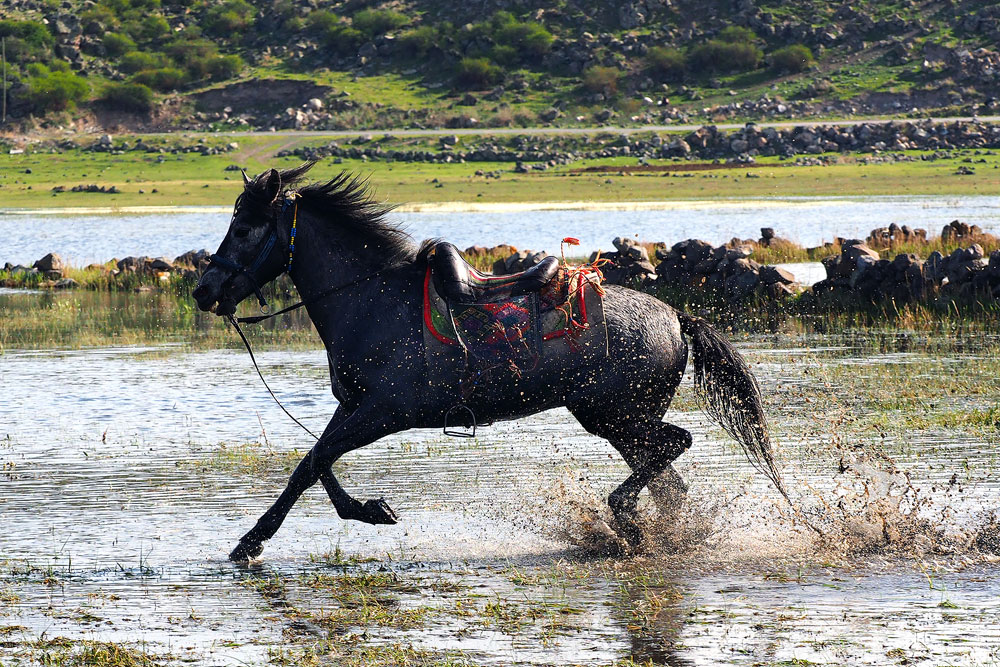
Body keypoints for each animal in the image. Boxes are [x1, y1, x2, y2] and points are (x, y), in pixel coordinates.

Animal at [193, 164, 788, 560]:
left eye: (243, 228)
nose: (205, 291)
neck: (371, 300)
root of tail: (675, 317)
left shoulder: (382, 413)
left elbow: (313, 462)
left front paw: (257, 540)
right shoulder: (355, 409)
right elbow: (314, 464)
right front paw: (357, 512)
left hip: (616, 414)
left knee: (673, 449)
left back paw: (624, 519)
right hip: (617, 420)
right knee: (669, 479)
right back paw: (652, 532)